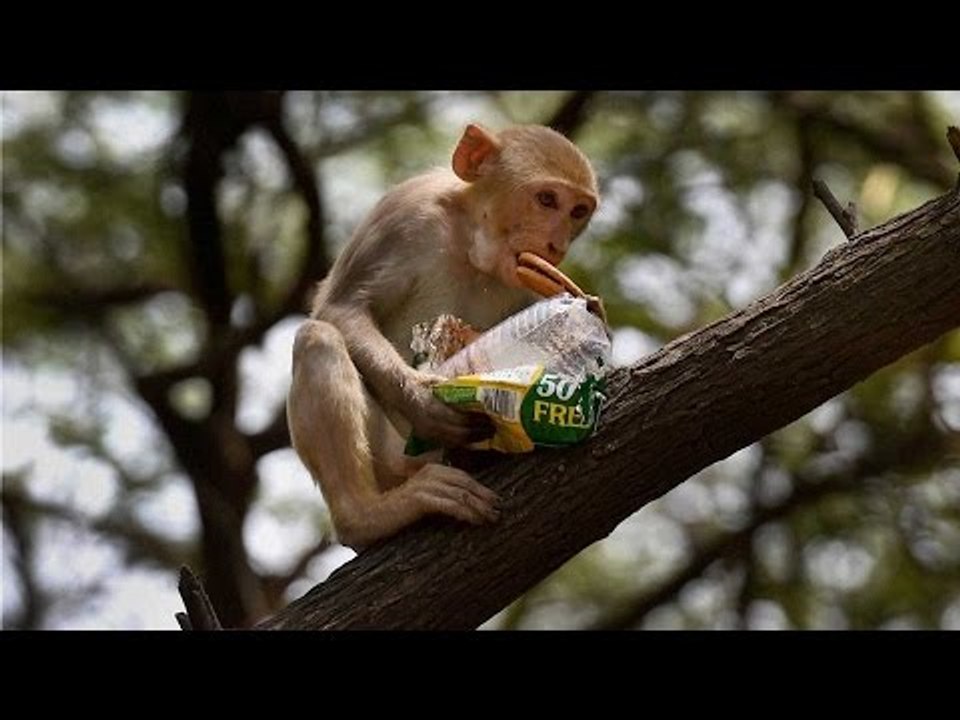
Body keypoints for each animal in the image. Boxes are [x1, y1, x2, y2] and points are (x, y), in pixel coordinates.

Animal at [287, 123, 600, 551]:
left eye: (578, 212)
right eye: (547, 199)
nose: (556, 245)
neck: (471, 246)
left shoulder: (539, 283)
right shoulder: (404, 218)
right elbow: (342, 309)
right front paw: (423, 399)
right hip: (395, 459)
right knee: (318, 338)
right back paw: (367, 517)